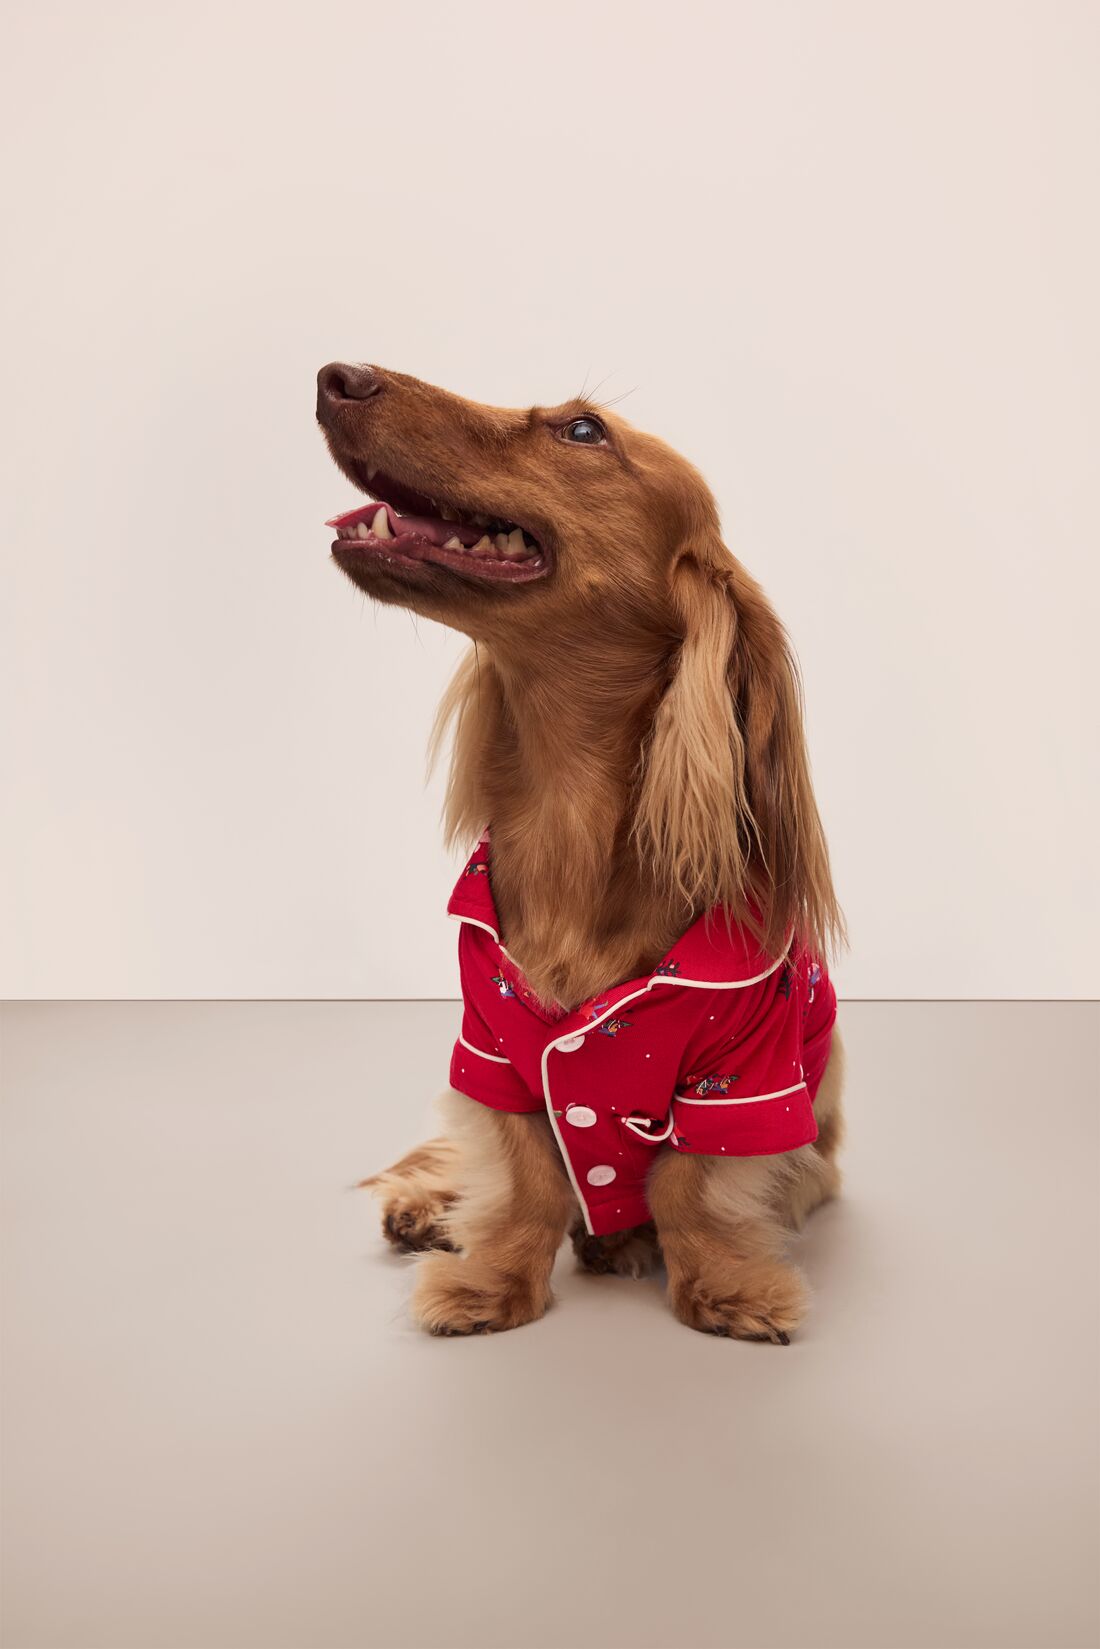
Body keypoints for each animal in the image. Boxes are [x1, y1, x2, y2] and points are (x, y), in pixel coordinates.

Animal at [313, 361, 850, 1338]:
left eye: (585, 432)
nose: (340, 375)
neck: (572, 818)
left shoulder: (747, 1076)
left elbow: (691, 1186)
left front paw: (725, 1286)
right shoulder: (488, 1043)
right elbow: (524, 1176)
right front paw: (491, 1280)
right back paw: (430, 1209)